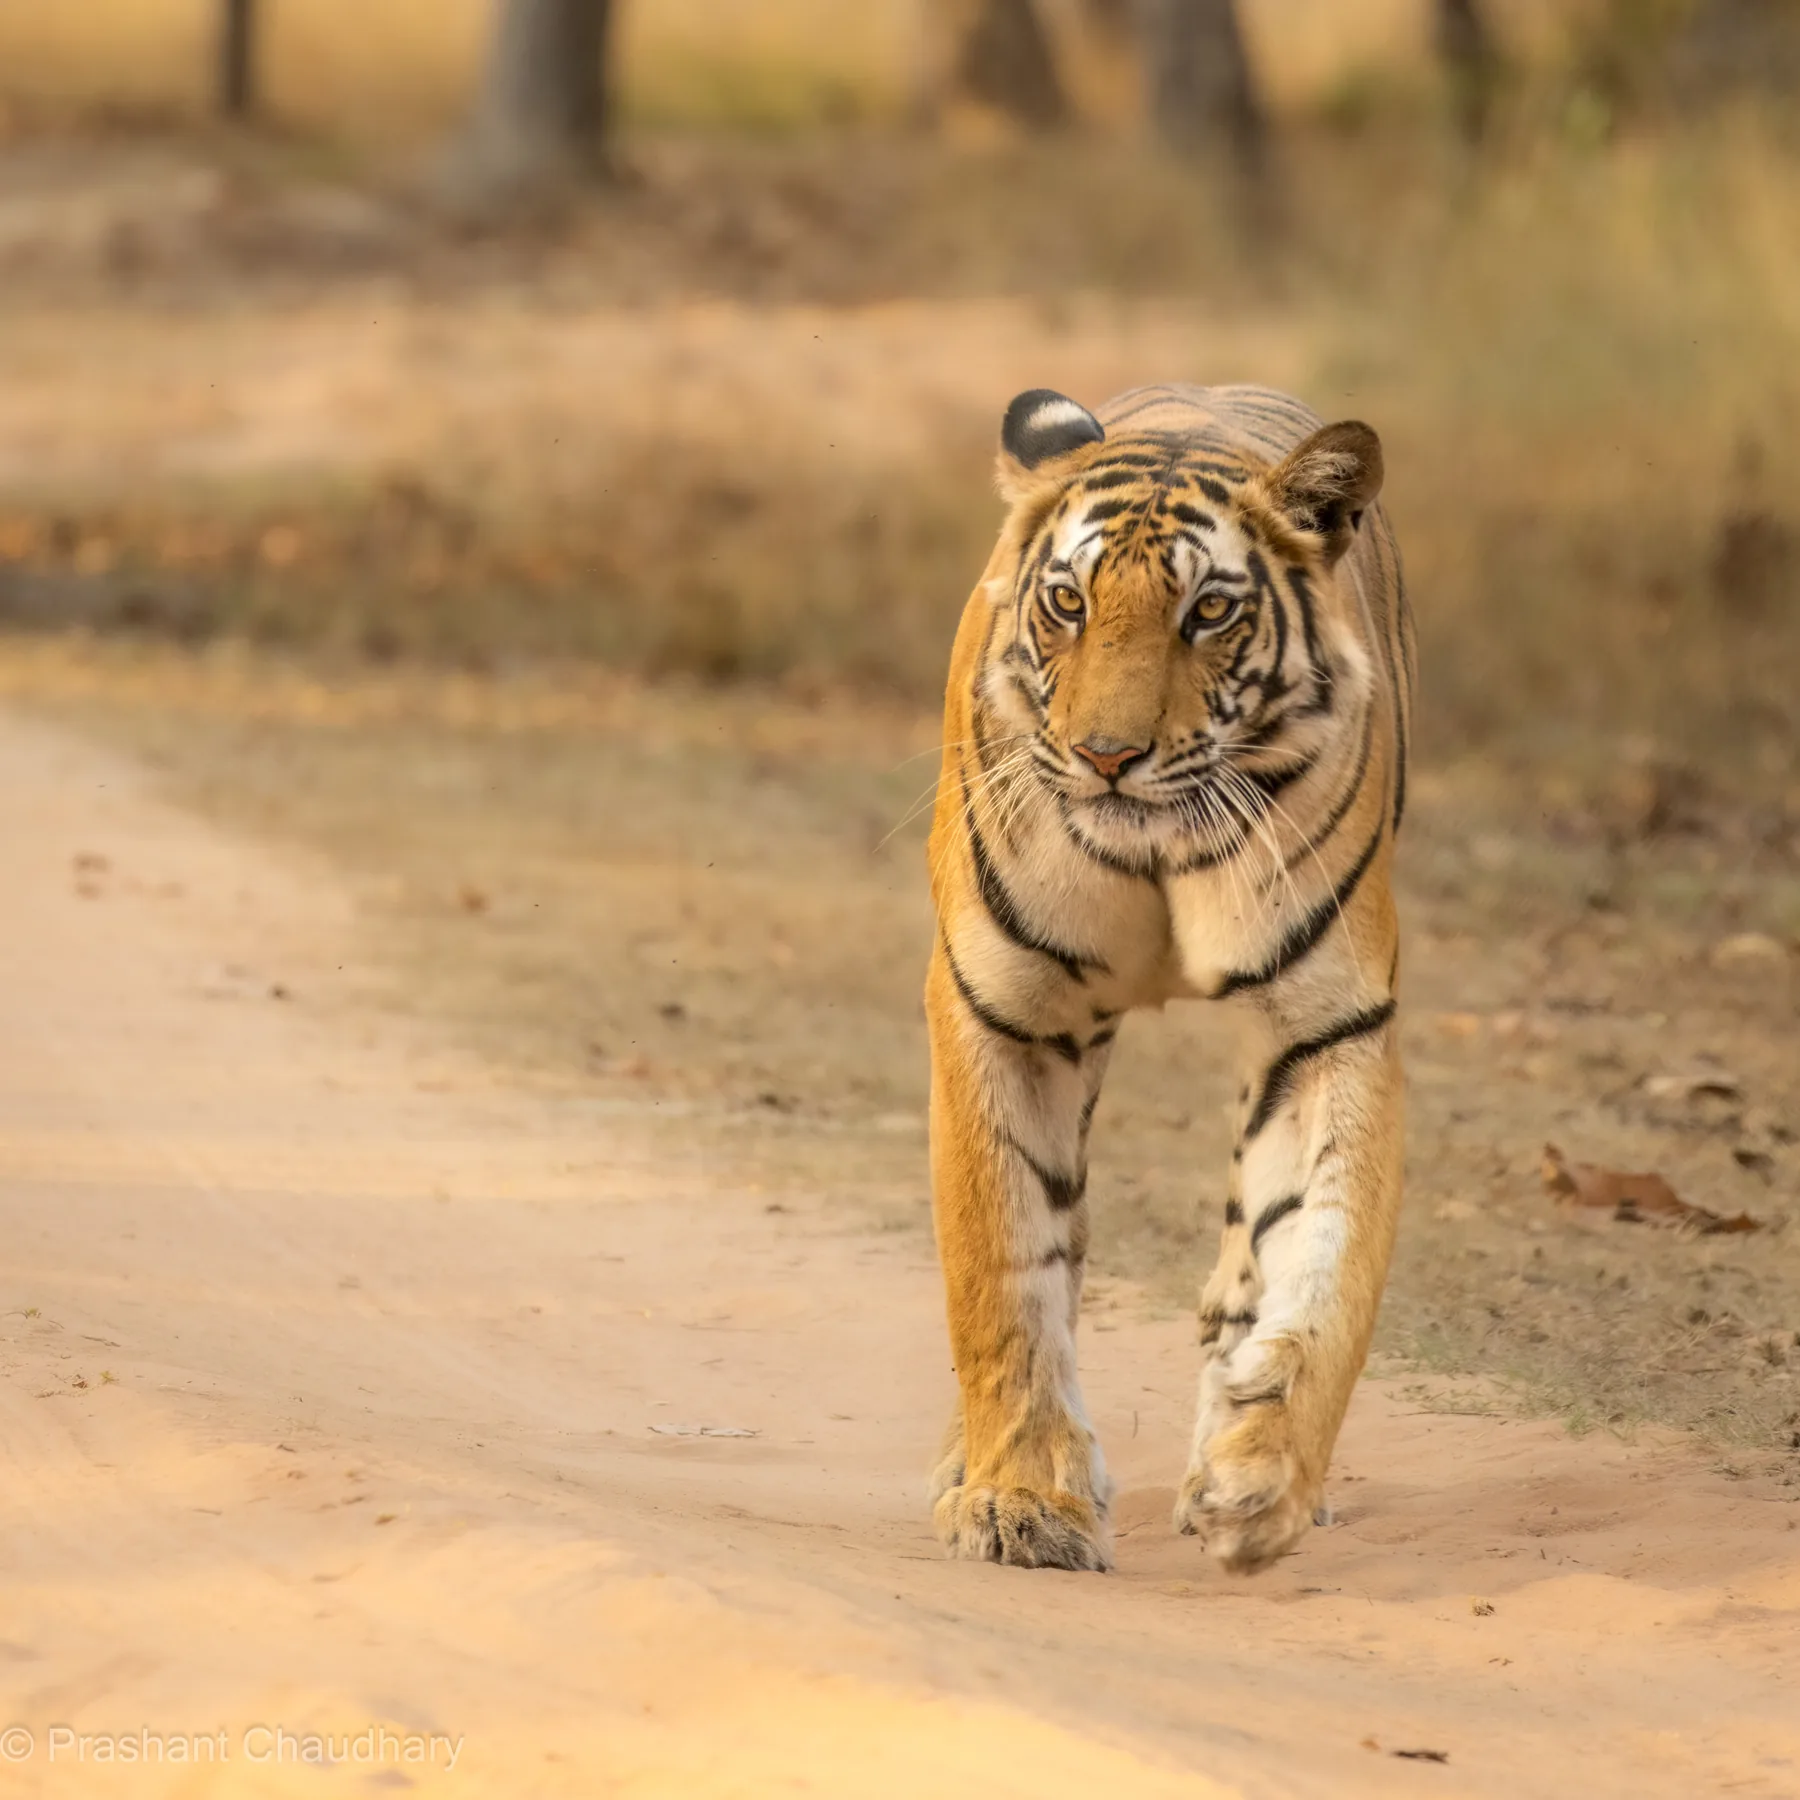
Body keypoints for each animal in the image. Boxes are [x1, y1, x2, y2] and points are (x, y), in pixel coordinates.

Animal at [924, 382, 1413, 1574]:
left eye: (1209, 612)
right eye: (1067, 603)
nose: (1107, 757)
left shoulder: (1325, 1025)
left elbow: (1326, 1263)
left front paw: (1260, 1476)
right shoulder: (1004, 1010)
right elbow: (1003, 1267)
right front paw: (1020, 1500)